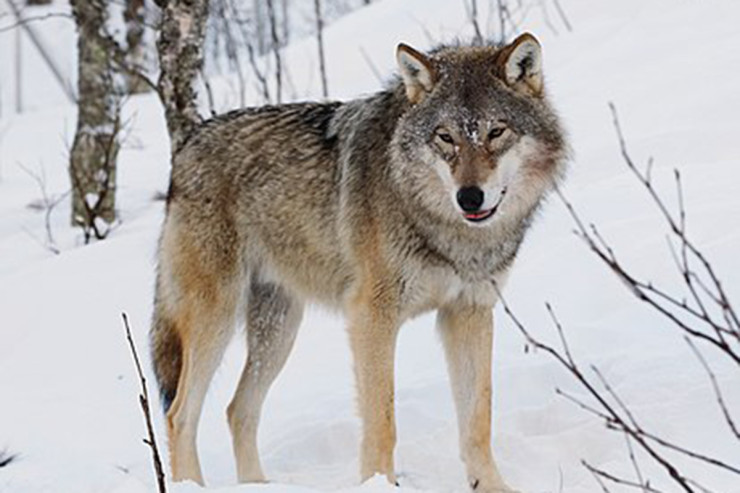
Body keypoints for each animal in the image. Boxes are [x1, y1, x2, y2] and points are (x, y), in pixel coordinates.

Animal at [150, 33, 568, 492]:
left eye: (496, 131)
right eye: (445, 137)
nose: (470, 197)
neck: (446, 229)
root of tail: (186, 146)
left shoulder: (469, 311)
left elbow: (478, 419)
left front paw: (492, 486)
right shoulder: (372, 316)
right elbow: (382, 421)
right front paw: (380, 482)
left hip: (278, 331)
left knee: (238, 410)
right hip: (217, 319)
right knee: (179, 415)